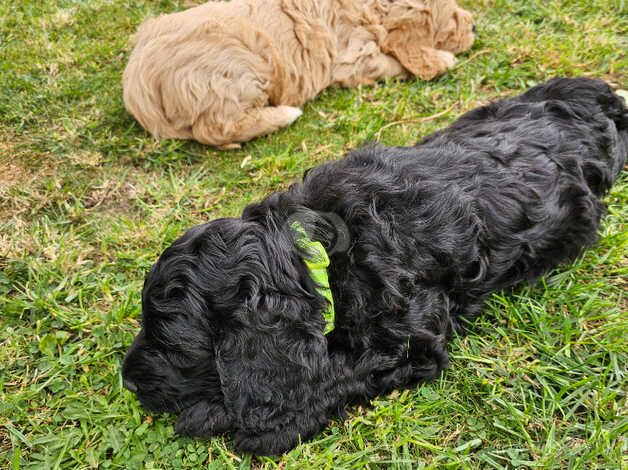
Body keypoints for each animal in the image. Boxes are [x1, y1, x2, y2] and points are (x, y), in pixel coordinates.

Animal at [120, 78, 624, 456]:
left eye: (173, 348)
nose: (127, 381)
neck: (319, 252)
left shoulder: (410, 342)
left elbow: (334, 376)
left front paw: (236, 420)